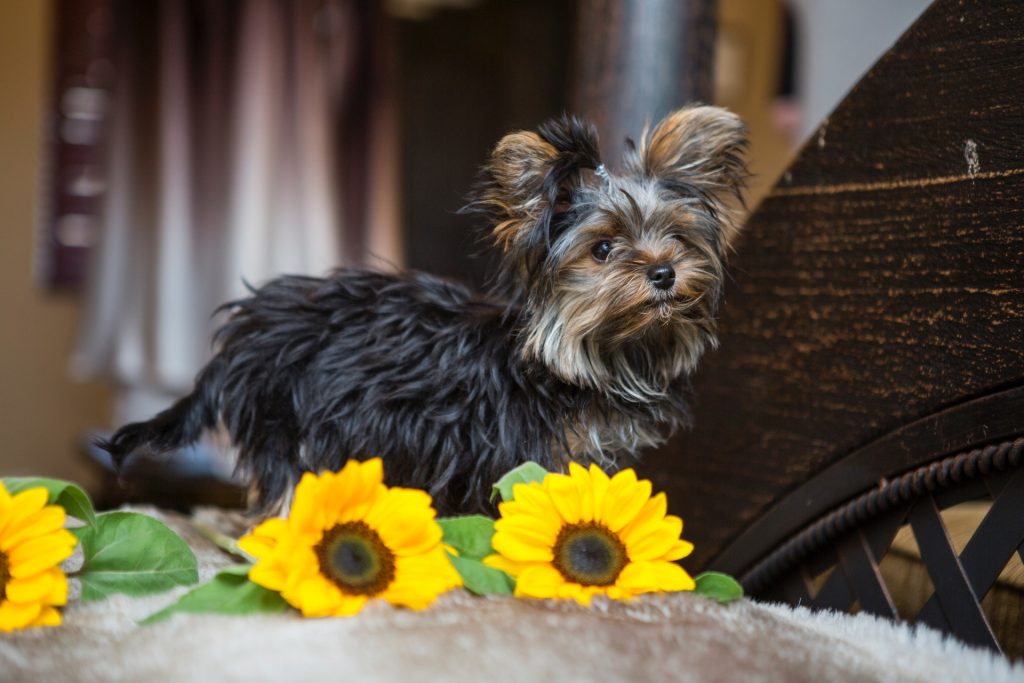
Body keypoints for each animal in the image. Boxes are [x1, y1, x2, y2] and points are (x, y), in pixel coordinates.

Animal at [101, 105, 745, 511]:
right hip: (295, 418)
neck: (587, 364)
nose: (663, 273)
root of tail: (248, 329)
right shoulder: (511, 455)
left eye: (677, 238)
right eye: (603, 249)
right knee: (285, 484)